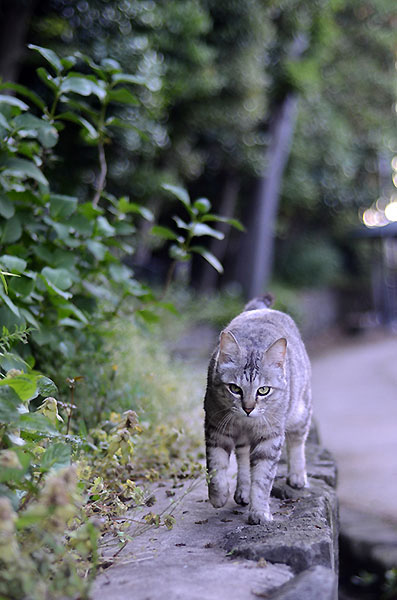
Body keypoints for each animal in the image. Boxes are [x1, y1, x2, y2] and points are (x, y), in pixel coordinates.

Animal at [204, 296, 312, 524]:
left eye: (263, 390)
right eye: (235, 388)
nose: (248, 408)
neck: (245, 421)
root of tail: (260, 309)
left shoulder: (270, 437)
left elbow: (263, 479)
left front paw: (259, 512)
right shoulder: (215, 427)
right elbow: (216, 466)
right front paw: (218, 496)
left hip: (300, 412)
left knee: (297, 442)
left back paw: (297, 476)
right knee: (243, 458)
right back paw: (242, 490)